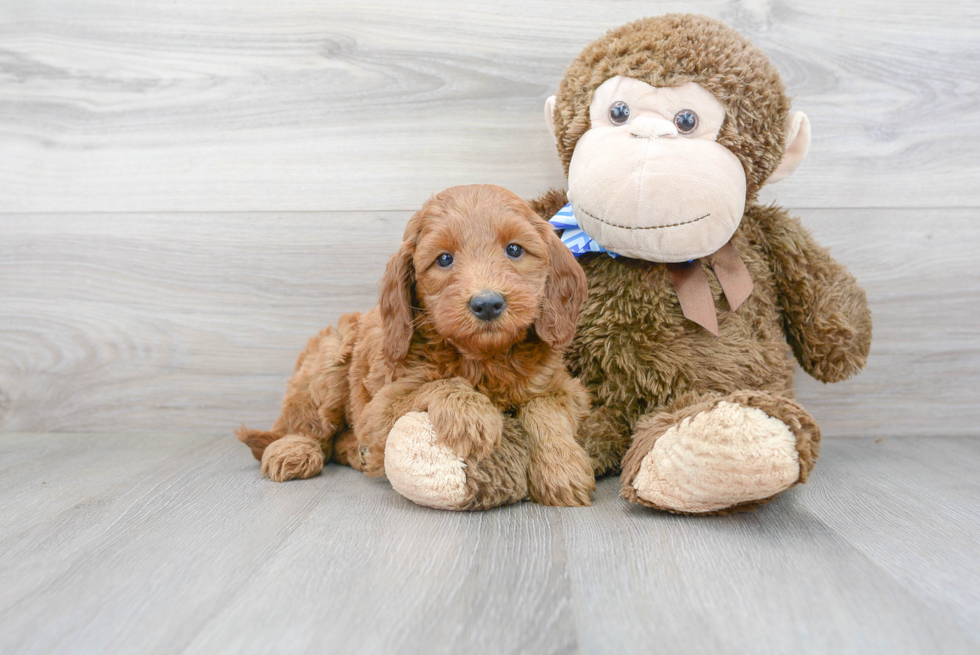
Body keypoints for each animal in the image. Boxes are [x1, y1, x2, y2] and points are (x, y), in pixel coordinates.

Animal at [237, 182, 592, 510]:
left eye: (515, 250)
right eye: (444, 259)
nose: (487, 304)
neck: (483, 358)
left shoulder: (563, 387)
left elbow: (545, 410)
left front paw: (562, 470)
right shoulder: (380, 408)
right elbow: (441, 383)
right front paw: (473, 415)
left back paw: (356, 453)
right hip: (329, 360)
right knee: (309, 426)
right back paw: (294, 450)